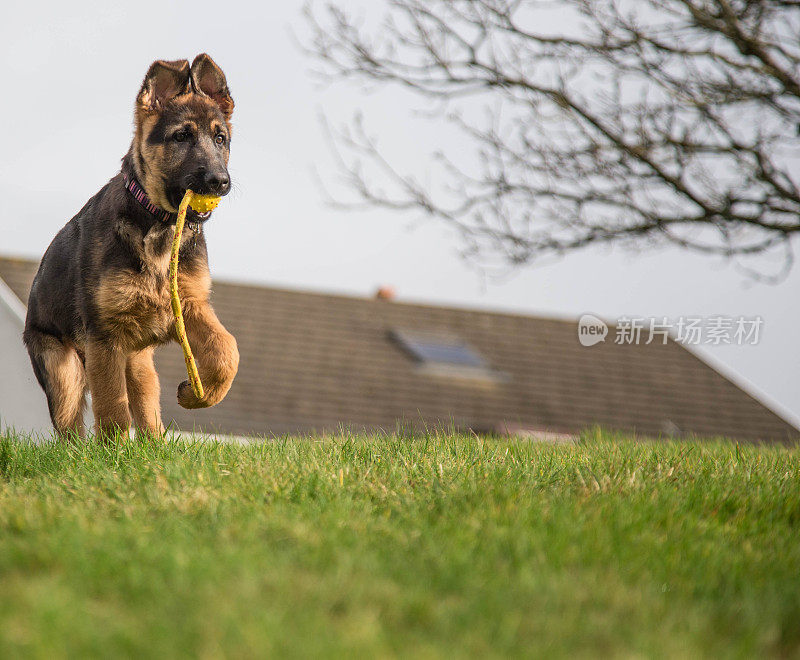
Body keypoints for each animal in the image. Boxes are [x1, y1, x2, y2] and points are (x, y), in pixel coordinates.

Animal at [23, 56, 239, 438]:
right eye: (181, 136)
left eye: (220, 138)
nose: (220, 182)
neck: (158, 225)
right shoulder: (104, 338)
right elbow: (111, 408)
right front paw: (113, 451)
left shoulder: (189, 305)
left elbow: (227, 350)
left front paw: (198, 394)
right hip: (64, 370)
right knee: (71, 430)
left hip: (139, 365)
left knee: (147, 412)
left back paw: (157, 445)